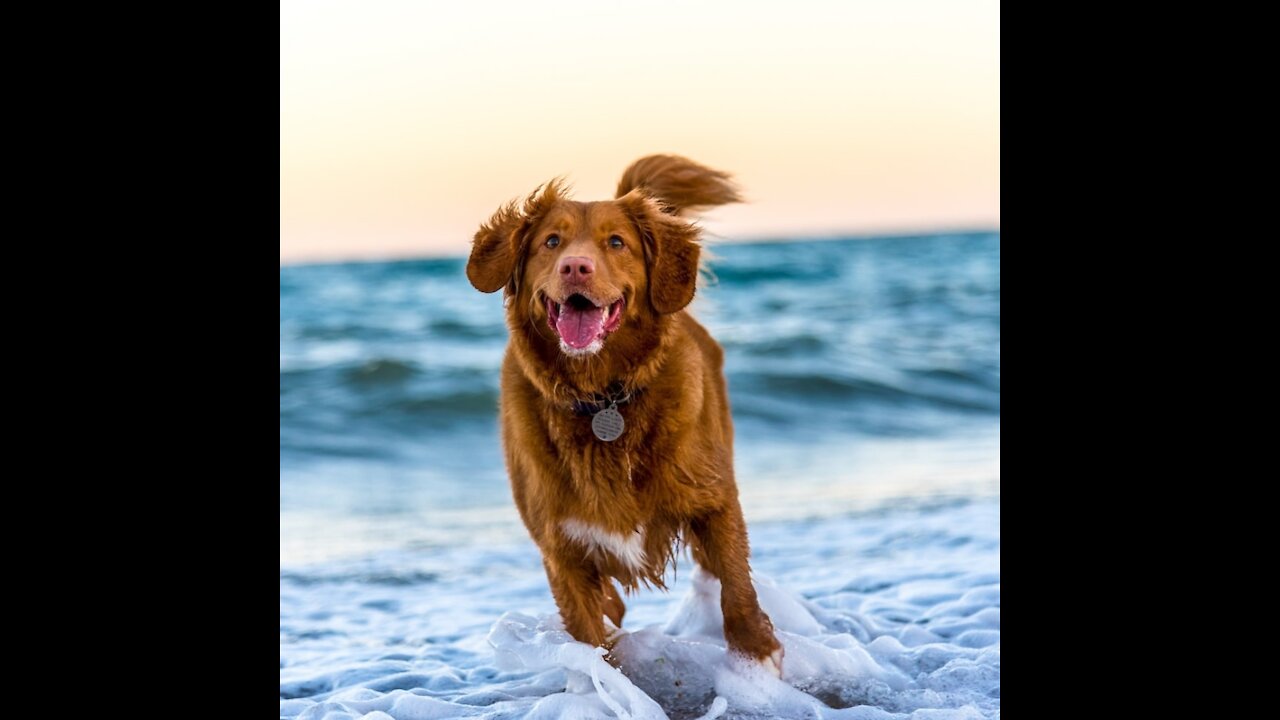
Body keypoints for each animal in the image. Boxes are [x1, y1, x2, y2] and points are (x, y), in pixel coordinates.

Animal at [463, 152, 778, 671]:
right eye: (552, 241)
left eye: (616, 242)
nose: (575, 266)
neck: (602, 397)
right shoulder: (561, 549)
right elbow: (590, 637)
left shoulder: (714, 500)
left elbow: (736, 584)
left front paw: (757, 653)